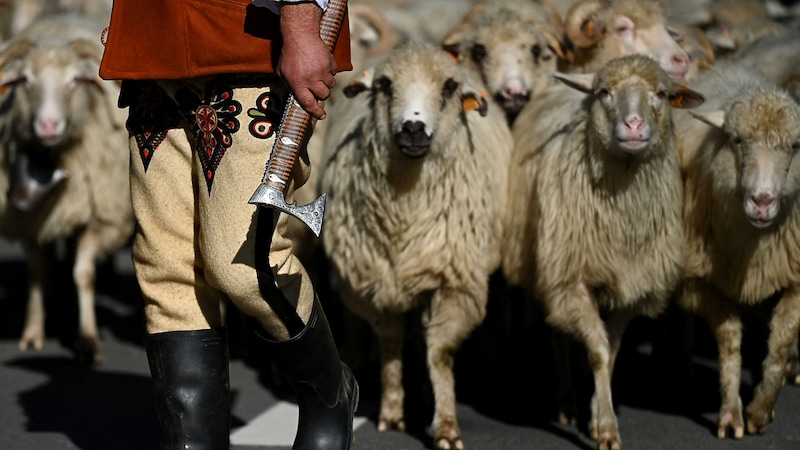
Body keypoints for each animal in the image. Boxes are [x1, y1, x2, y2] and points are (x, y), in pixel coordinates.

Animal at [0, 14, 132, 366]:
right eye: (25, 81)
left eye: (75, 81)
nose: (48, 125)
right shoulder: (30, 220)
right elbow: (36, 270)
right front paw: (33, 332)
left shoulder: (96, 217)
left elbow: (83, 274)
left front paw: (87, 340)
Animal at [320, 42, 512, 450]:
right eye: (385, 85)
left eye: (449, 88)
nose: (413, 127)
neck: (405, 209)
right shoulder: (372, 282)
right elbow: (391, 342)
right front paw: (392, 412)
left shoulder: (454, 282)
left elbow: (439, 352)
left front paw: (446, 426)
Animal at [504, 54, 704, 448]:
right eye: (603, 92)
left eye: (661, 94)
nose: (633, 124)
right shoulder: (572, 280)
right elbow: (597, 349)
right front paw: (607, 428)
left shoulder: (633, 284)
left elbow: (610, 351)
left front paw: (598, 414)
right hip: (549, 269)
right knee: (557, 334)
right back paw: (566, 399)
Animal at [676, 62, 800, 440]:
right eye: (736, 139)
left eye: (795, 145)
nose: (762, 201)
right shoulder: (699, 283)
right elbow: (730, 340)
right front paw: (731, 414)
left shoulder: (794, 279)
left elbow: (781, 342)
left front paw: (761, 409)